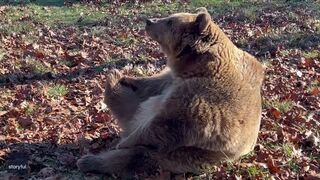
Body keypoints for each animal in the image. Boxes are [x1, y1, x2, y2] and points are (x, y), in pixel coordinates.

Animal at [76, 7, 264, 176]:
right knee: (129, 104)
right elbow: (151, 84)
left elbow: (167, 123)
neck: (197, 66)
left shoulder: (203, 98)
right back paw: (114, 79)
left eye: (169, 21)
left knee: (138, 156)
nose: (149, 21)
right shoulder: (171, 80)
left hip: (183, 155)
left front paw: (124, 143)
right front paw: (127, 78)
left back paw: (90, 160)